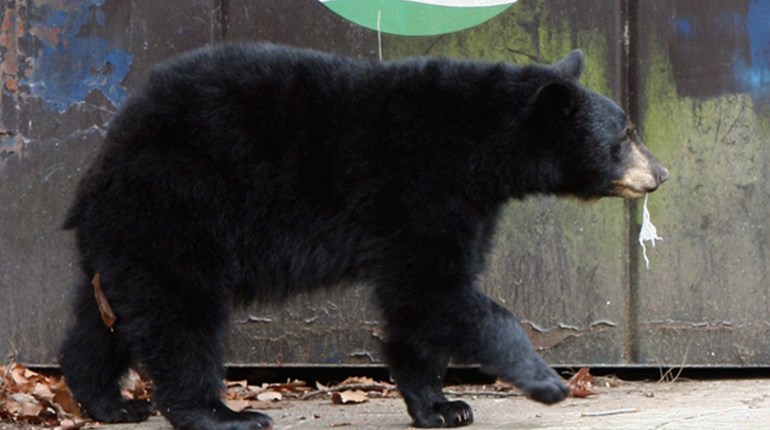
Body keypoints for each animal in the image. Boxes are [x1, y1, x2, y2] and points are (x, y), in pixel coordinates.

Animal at [59, 43, 668, 430]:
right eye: (625, 135)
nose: (661, 172)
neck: (478, 147)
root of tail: (104, 160)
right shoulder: (418, 189)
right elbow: (436, 290)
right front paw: (547, 383)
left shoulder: (463, 206)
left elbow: (421, 303)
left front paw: (442, 406)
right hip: (182, 205)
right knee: (183, 317)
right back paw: (223, 414)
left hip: (128, 236)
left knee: (107, 317)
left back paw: (108, 401)